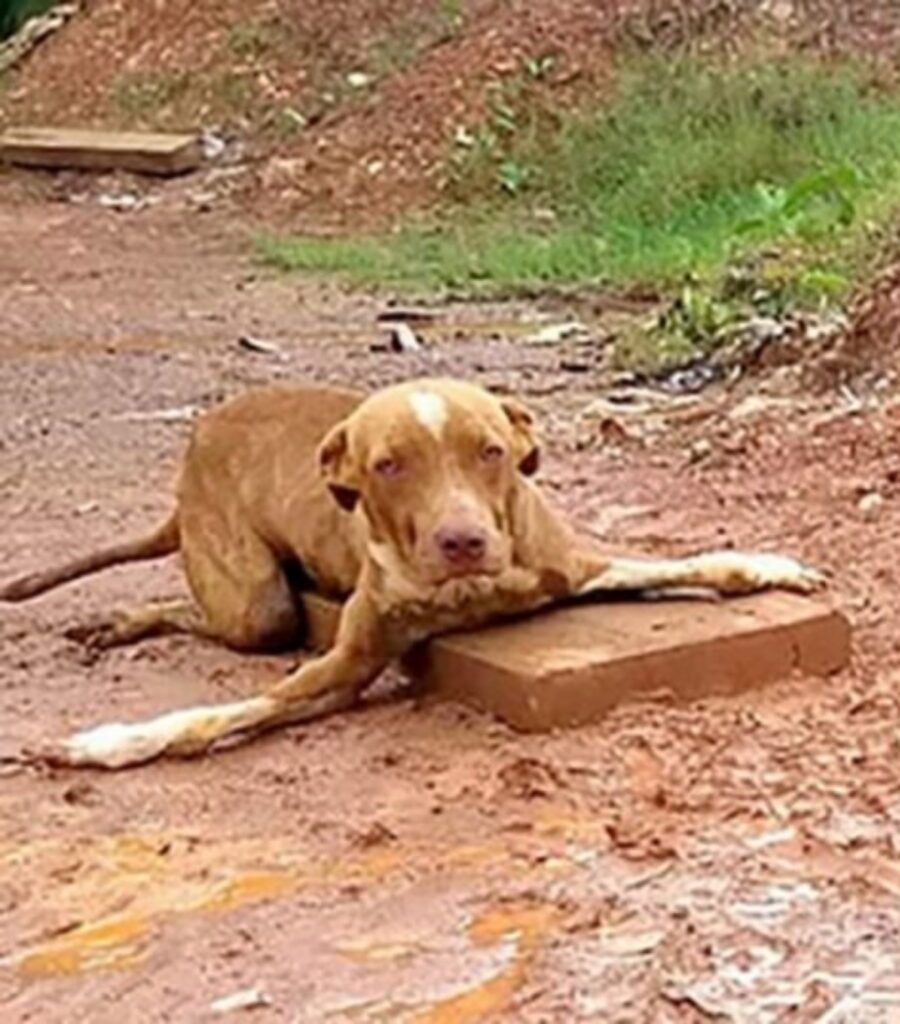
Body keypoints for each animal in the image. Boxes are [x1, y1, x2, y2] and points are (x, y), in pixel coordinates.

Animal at [0, 378, 827, 770]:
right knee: (215, 609)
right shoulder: (343, 665)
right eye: (388, 466)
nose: (463, 540)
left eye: (490, 451)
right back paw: (121, 622)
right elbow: (207, 718)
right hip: (254, 601)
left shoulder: (572, 566)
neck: (468, 592)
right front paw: (103, 745)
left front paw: (770, 564)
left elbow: (702, 562)